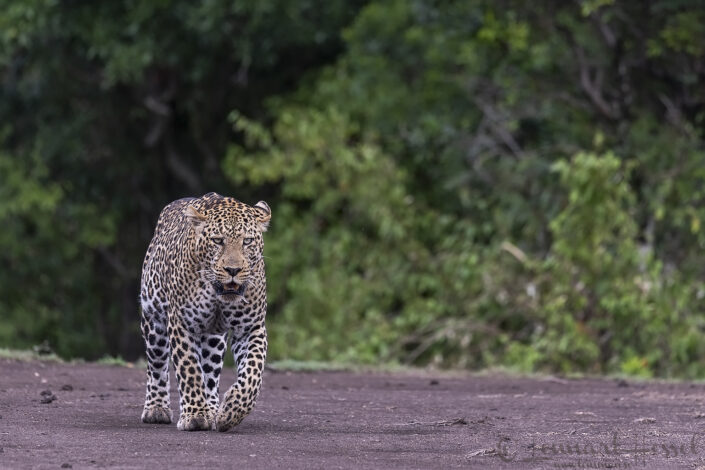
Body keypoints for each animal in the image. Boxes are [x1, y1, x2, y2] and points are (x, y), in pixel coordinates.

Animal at [139, 192, 271, 432]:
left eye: (247, 241)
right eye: (218, 240)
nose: (233, 270)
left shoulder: (251, 328)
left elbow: (253, 373)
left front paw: (230, 411)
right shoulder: (180, 323)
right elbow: (189, 369)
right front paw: (195, 416)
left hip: (214, 338)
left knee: (210, 373)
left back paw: (212, 409)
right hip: (154, 323)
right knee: (157, 365)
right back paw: (156, 409)